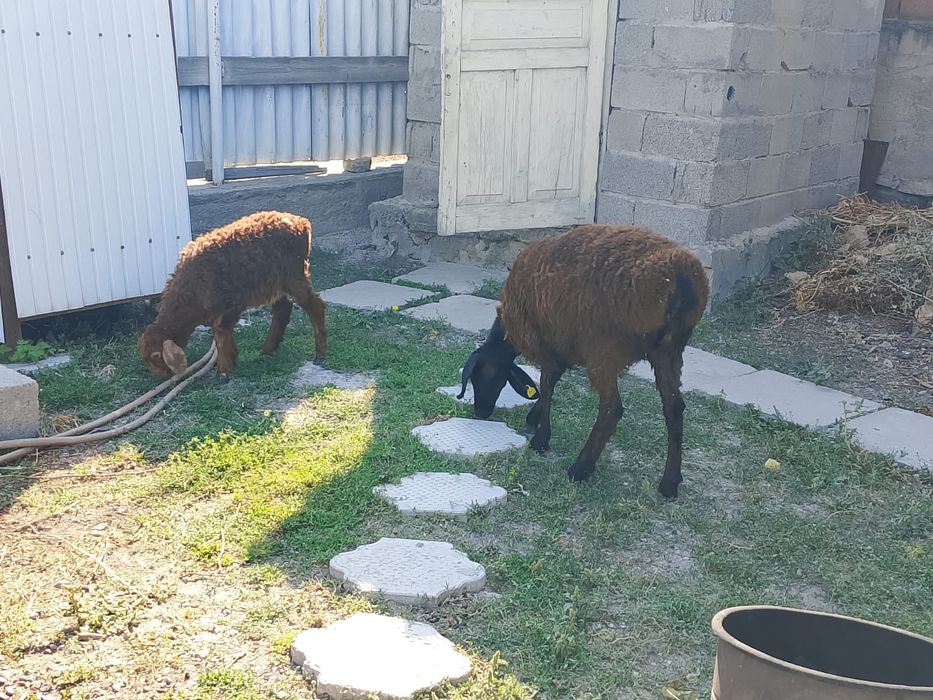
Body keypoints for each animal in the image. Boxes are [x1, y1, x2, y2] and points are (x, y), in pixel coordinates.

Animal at [138, 211, 327, 379]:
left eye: (156, 355)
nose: (158, 377)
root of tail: (301, 223)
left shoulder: (232, 303)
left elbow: (221, 333)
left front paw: (223, 371)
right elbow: (223, 333)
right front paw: (232, 359)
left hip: (294, 275)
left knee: (315, 305)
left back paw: (320, 354)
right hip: (274, 282)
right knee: (283, 308)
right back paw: (268, 348)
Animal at [458, 224, 709, 498]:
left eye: (481, 376)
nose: (481, 412)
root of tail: (679, 280)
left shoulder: (549, 342)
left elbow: (547, 386)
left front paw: (540, 438)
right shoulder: (561, 345)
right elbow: (549, 385)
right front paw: (535, 419)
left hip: (605, 350)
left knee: (612, 409)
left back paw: (580, 468)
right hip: (668, 350)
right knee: (674, 407)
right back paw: (669, 483)